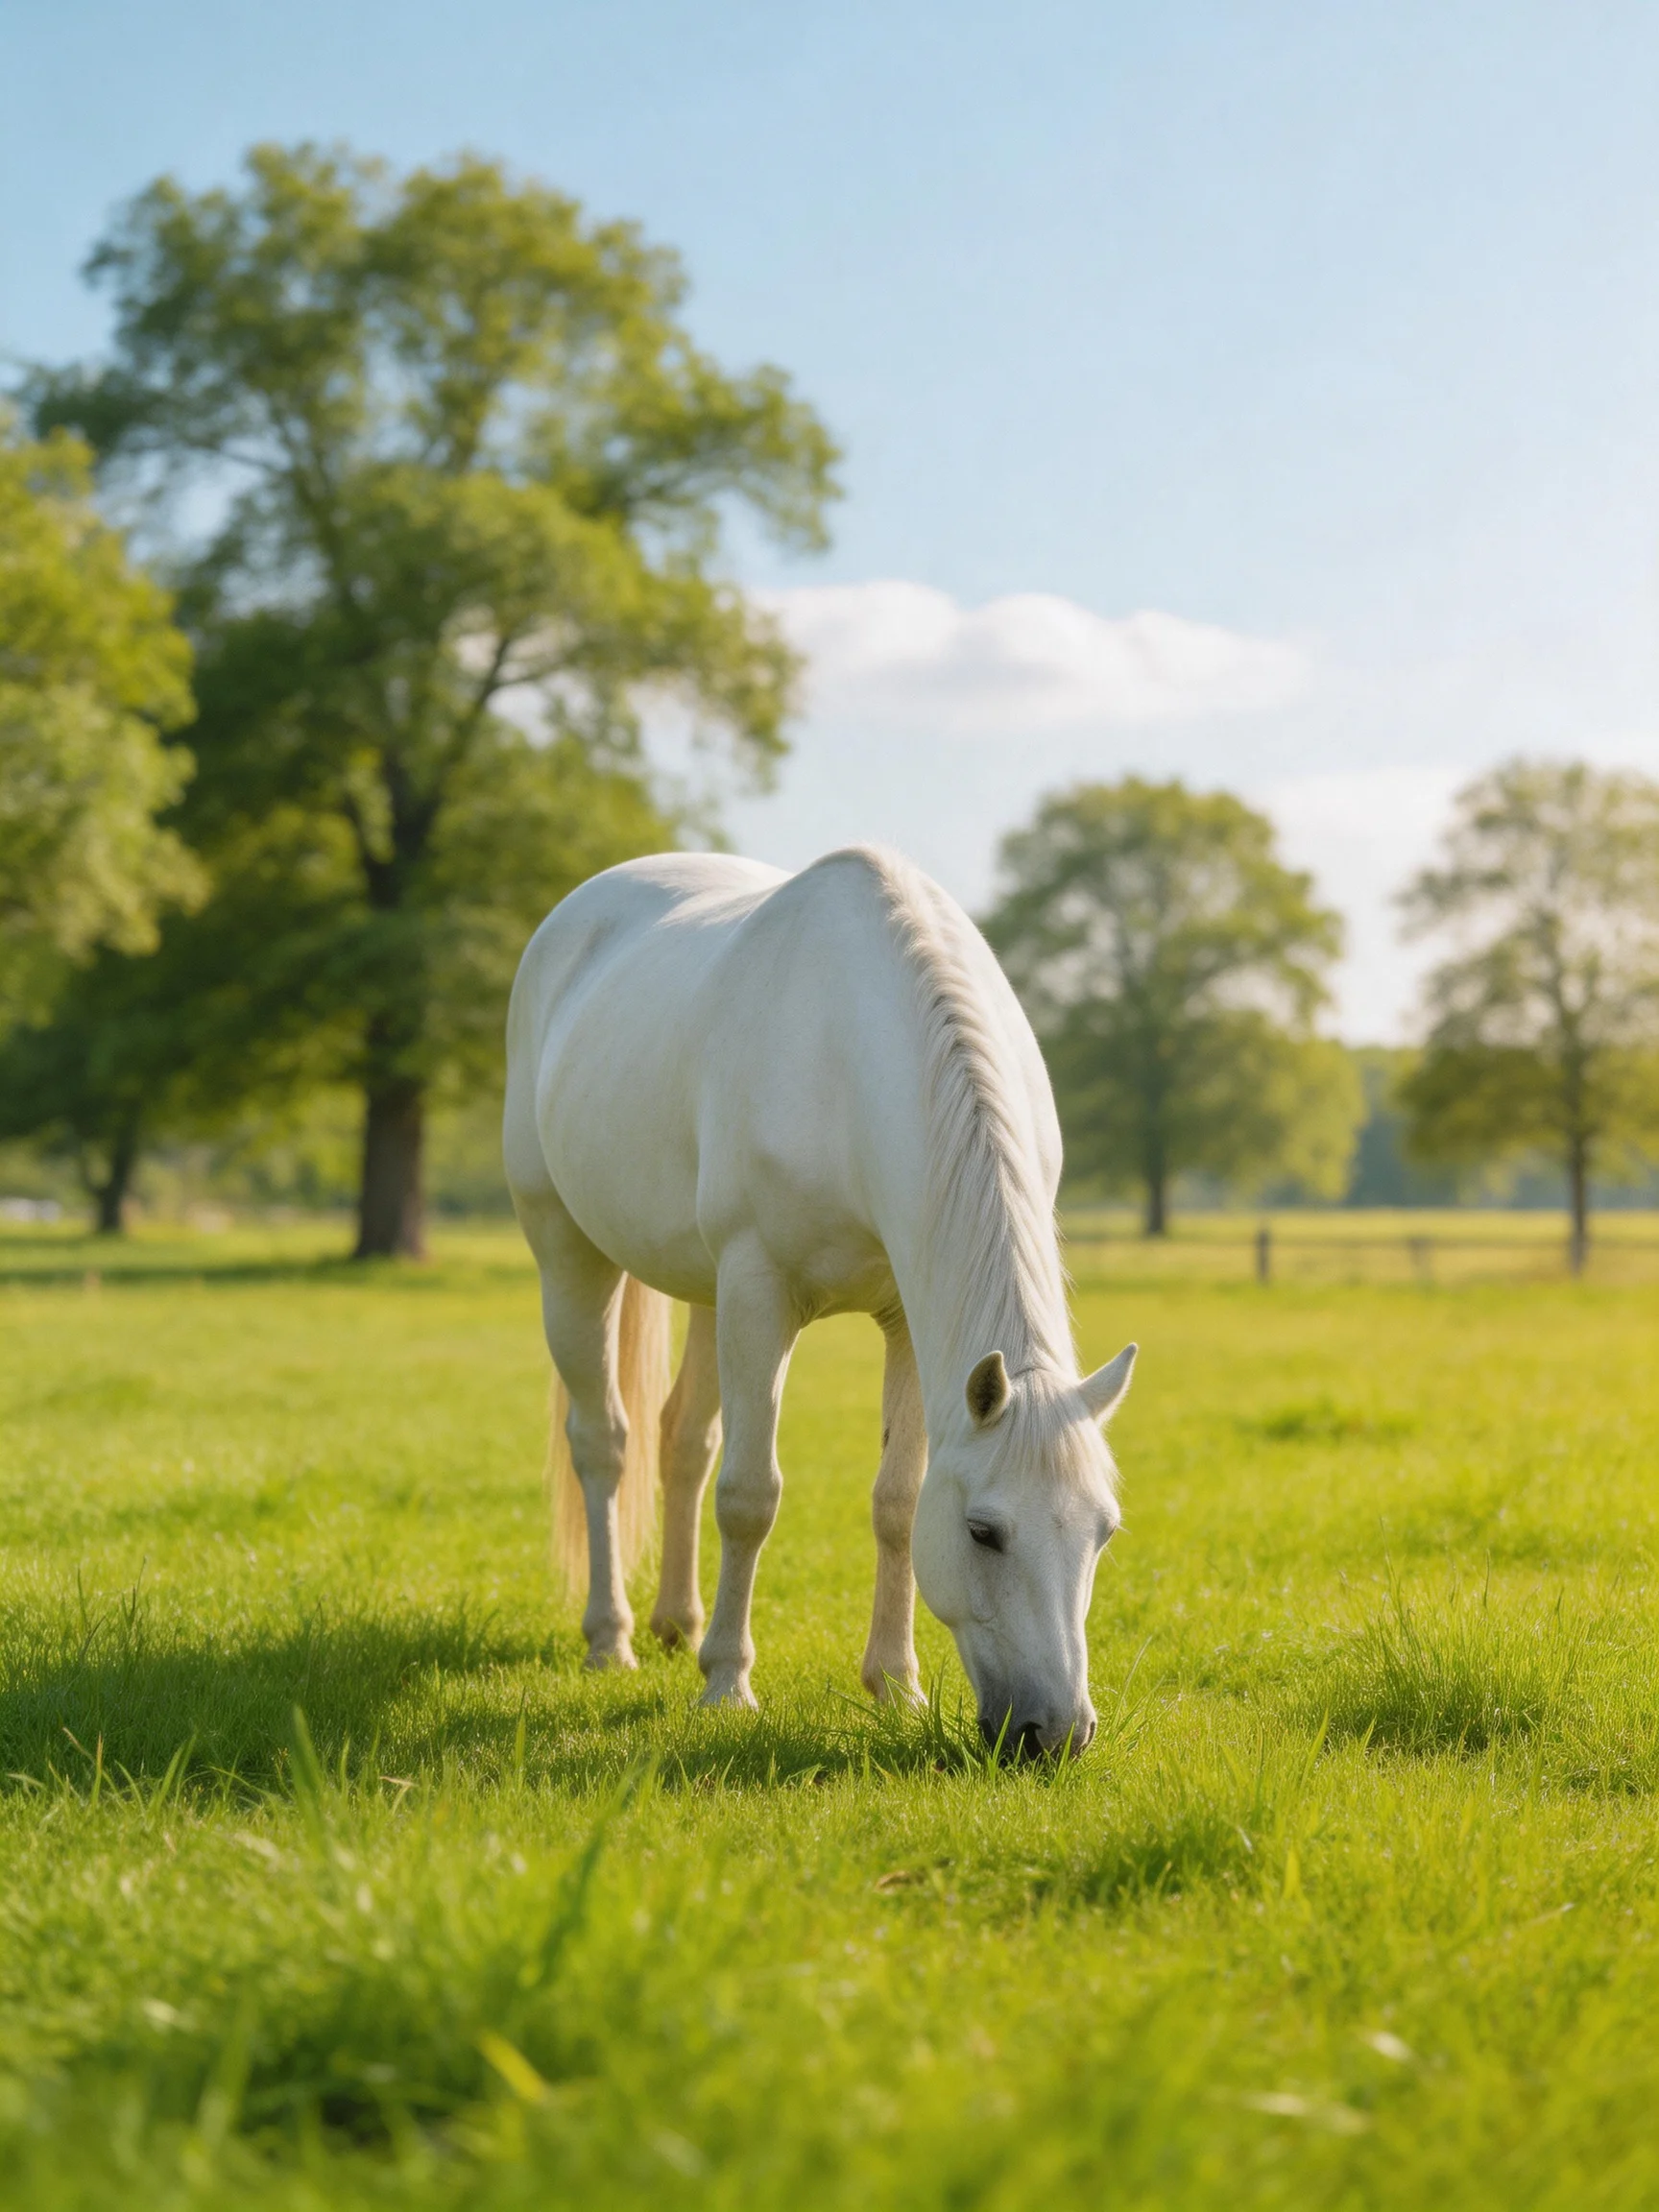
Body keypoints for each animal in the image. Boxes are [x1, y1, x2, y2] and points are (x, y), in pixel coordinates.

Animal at [503, 844, 1136, 1756]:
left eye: (1103, 1531)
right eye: (983, 1532)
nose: (1053, 1735)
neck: (851, 1058)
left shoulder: (904, 1320)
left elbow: (897, 1502)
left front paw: (896, 1686)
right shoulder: (759, 1290)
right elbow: (749, 1496)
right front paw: (728, 1685)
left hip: (706, 1294)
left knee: (683, 1437)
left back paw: (675, 1623)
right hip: (572, 1256)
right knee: (605, 1444)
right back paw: (610, 1639)